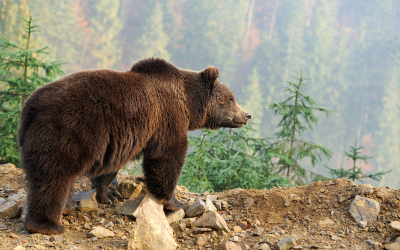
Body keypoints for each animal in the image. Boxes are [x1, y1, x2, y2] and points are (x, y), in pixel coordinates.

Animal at [18, 57, 252, 234]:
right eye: (230, 98)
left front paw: (109, 194)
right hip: (67, 132)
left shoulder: (120, 139)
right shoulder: (167, 117)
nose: (247, 115)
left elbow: (110, 166)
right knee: (54, 177)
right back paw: (48, 224)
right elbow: (167, 157)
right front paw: (175, 202)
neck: (188, 103)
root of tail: (31, 106)